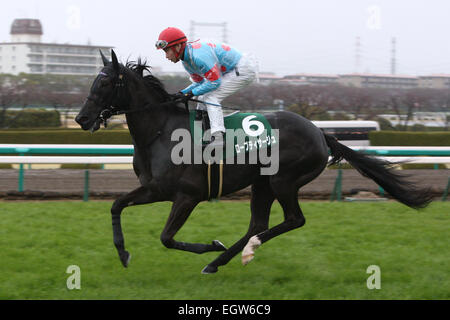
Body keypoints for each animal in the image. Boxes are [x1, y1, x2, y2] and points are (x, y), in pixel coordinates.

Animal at [75, 50, 430, 276]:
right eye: (93, 80)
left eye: (104, 83)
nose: (81, 118)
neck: (161, 131)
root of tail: (319, 131)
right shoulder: (153, 189)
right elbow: (116, 206)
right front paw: (123, 253)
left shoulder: (187, 195)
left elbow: (167, 237)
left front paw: (211, 244)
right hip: (262, 183)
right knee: (258, 223)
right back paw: (220, 261)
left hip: (283, 180)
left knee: (293, 220)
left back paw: (239, 253)